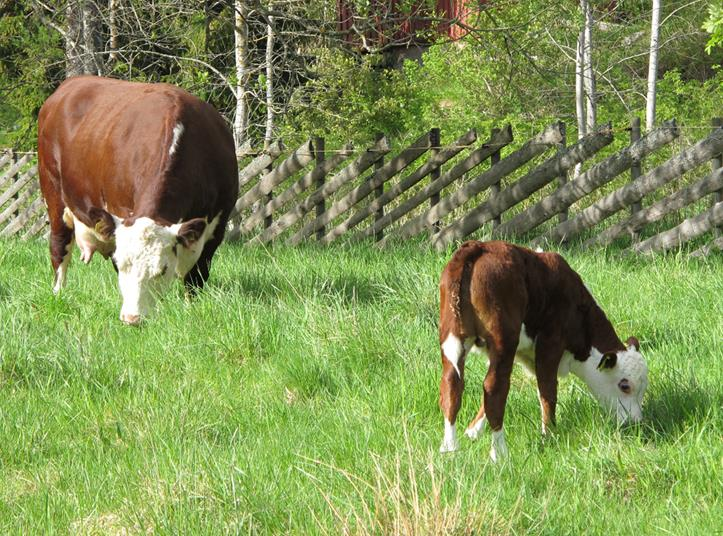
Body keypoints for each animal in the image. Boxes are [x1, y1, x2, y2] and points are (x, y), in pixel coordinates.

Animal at [37, 76, 238, 324]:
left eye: (162, 269)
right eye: (119, 263)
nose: (132, 318)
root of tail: (71, 83)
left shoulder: (216, 227)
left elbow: (196, 277)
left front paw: (191, 310)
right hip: (53, 194)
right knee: (58, 249)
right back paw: (58, 294)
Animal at [442, 242, 652, 460]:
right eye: (625, 386)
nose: (636, 422)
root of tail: (479, 247)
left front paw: (473, 431)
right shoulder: (550, 343)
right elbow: (548, 389)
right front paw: (549, 435)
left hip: (453, 334)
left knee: (451, 384)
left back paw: (449, 449)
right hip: (503, 340)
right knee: (495, 388)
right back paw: (499, 454)